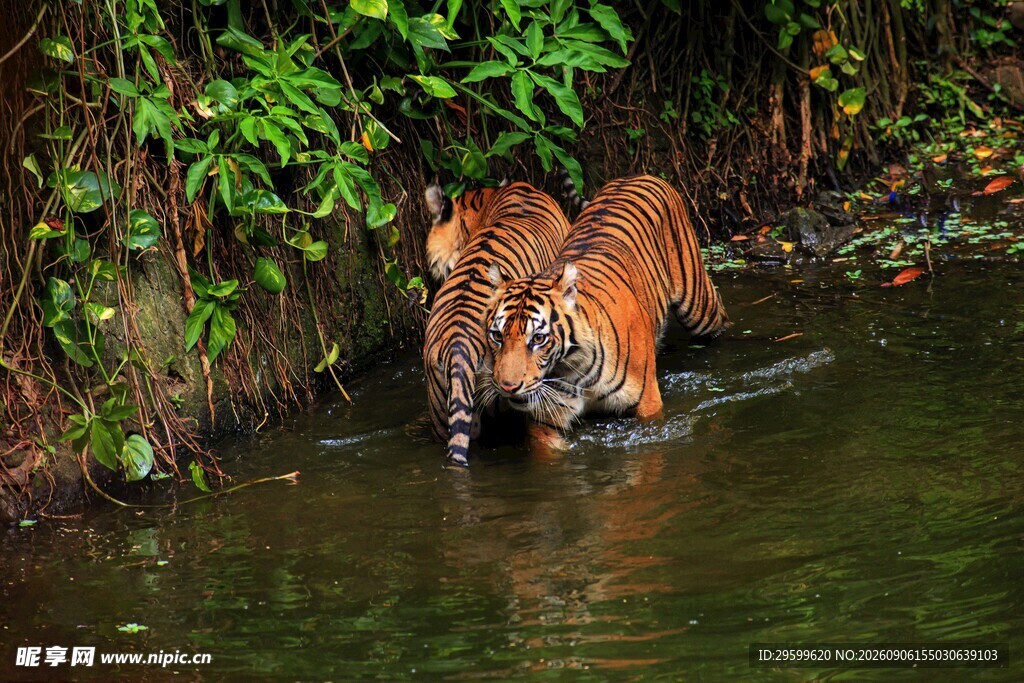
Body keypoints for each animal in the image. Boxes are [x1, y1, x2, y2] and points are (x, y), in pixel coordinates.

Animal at [480, 174, 730, 449]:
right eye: (497, 336)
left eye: (538, 338)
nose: (508, 387)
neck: (573, 369)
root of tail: (640, 175)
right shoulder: (546, 422)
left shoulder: (647, 405)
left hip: (698, 306)